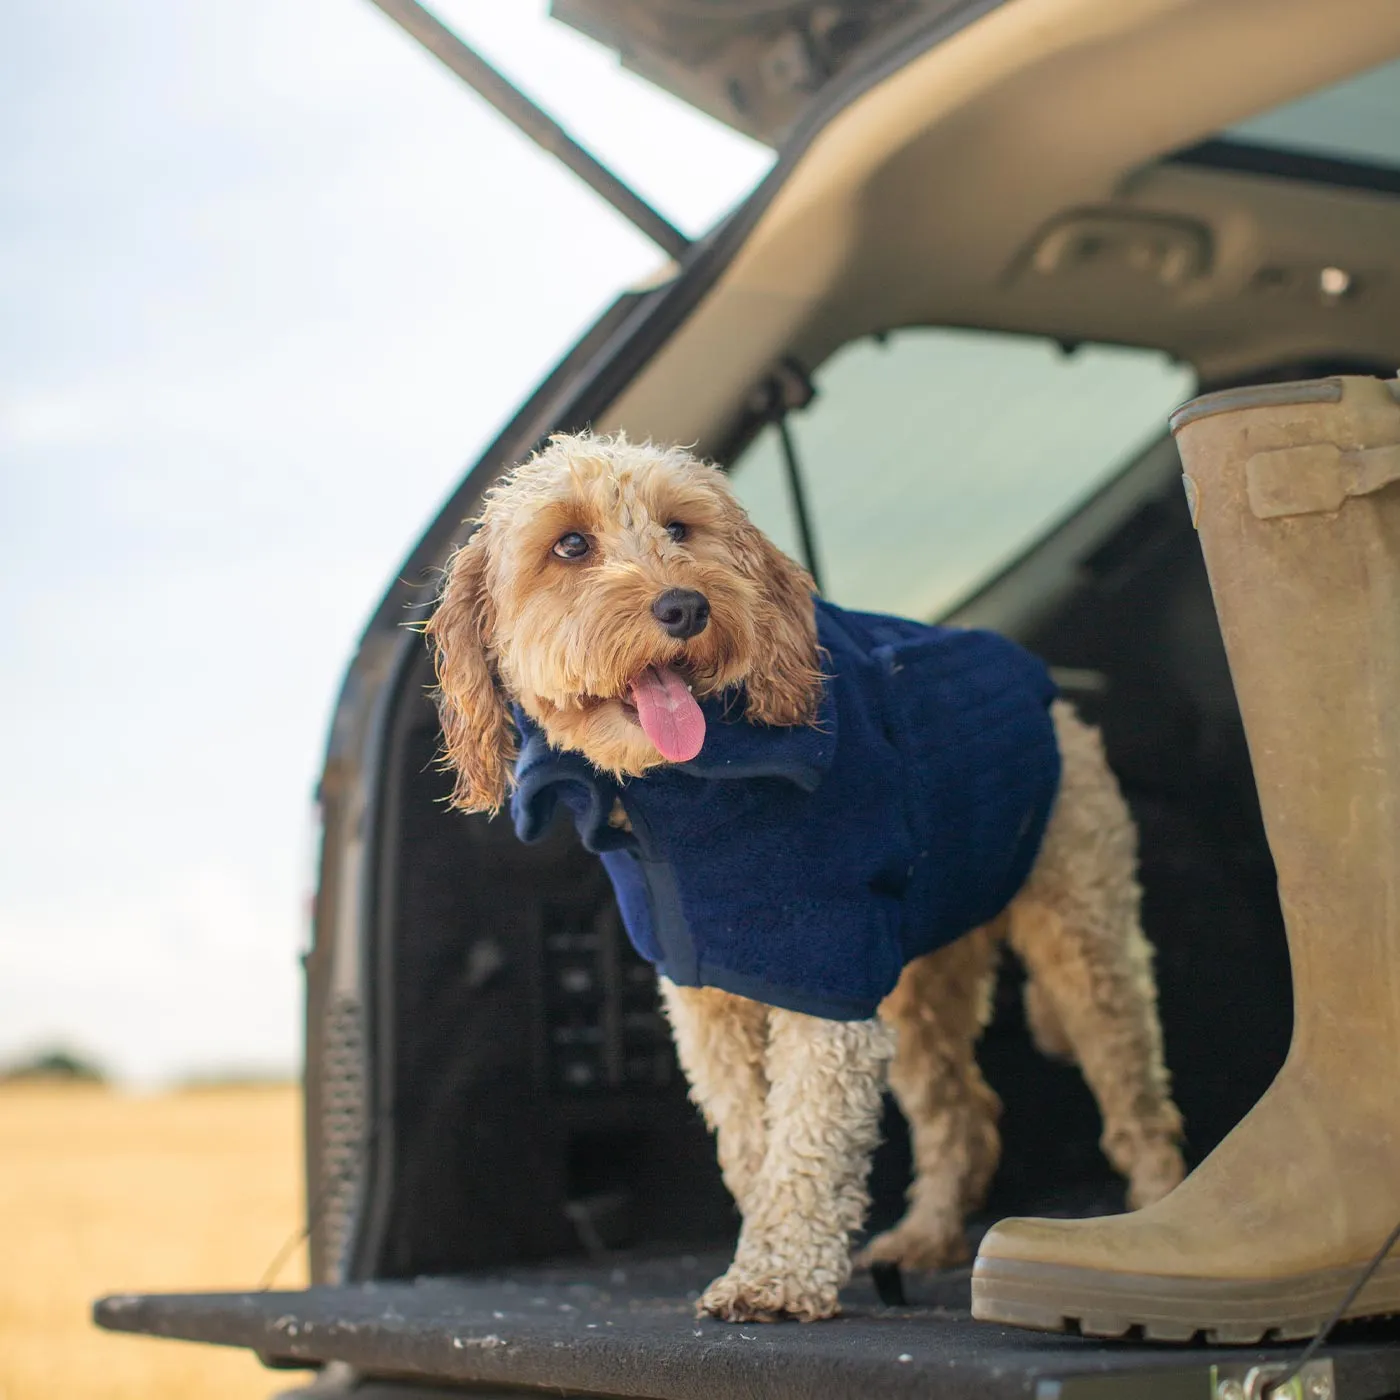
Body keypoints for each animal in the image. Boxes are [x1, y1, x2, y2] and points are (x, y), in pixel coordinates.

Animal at [422, 434, 1181, 1321]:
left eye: (680, 528)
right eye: (569, 545)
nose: (685, 608)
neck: (685, 797)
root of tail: (1053, 696)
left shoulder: (827, 968)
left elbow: (808, 1132)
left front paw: (776, 1277)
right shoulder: (707, 1001)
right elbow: (756, 1138)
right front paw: (769, 1246)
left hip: (1082, 938)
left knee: (1135, 1095)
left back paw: (1155, 1222)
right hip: (920, 982)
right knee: (961, 1112)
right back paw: (925, 1238)